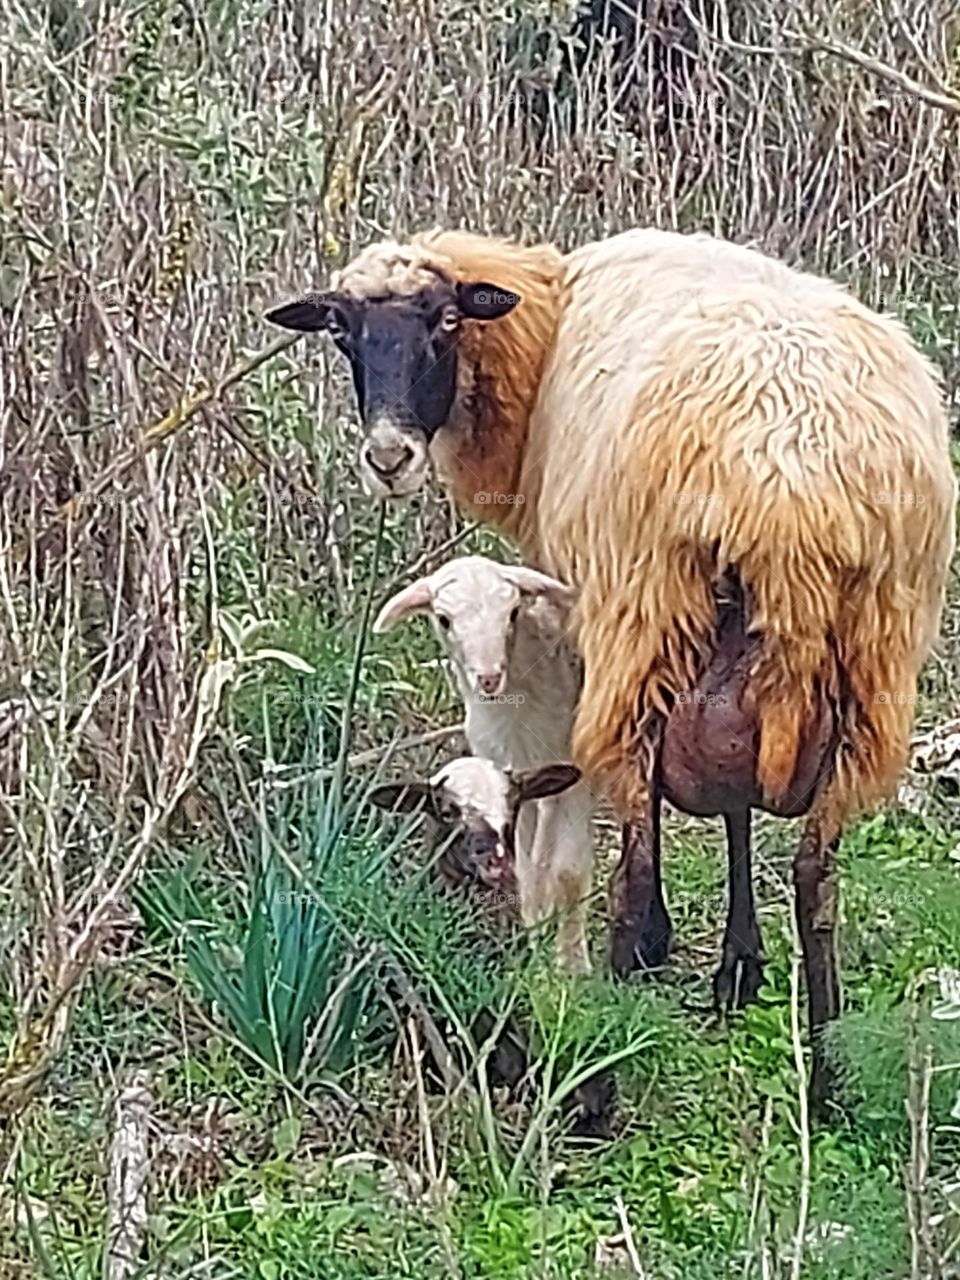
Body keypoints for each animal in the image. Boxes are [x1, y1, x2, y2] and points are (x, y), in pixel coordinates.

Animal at [373, 558, 593, 967]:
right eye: (444, 619)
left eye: (513, 612)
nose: (488, 679)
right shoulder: (507, 767)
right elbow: (526, 864)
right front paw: (533, 932)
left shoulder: (576, 769)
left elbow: (567, 872)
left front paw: (571, 964)